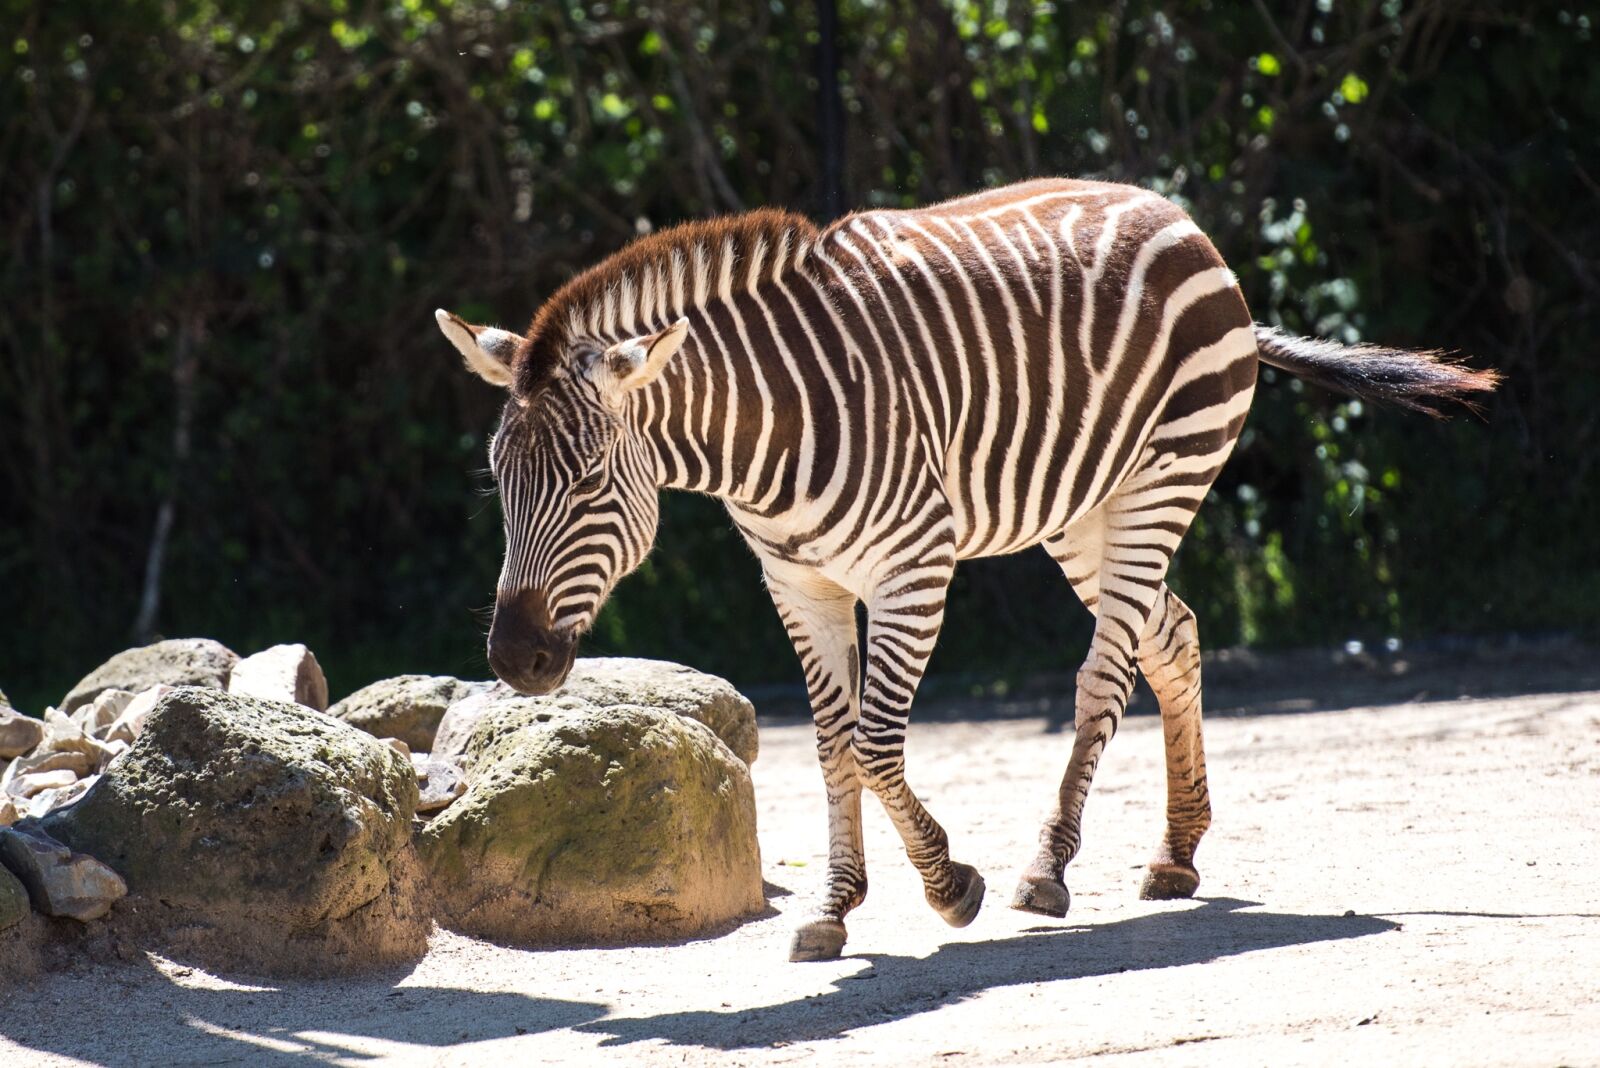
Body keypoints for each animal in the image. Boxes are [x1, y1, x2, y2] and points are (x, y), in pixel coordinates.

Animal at [435, 177, 1497, 962]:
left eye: (589, 481)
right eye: (496, 480)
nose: (516, 660)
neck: (766, 427)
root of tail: (1183, 220)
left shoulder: (913, 569)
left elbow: (875, 744)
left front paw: (950, 887)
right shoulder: (799, 585)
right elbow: (830, 744)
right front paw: (833, 906)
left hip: (1164, 478)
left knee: (1106, 672)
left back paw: (1047, 868)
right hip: (1085, 511)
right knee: (1173, 638)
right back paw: (1175, 853)